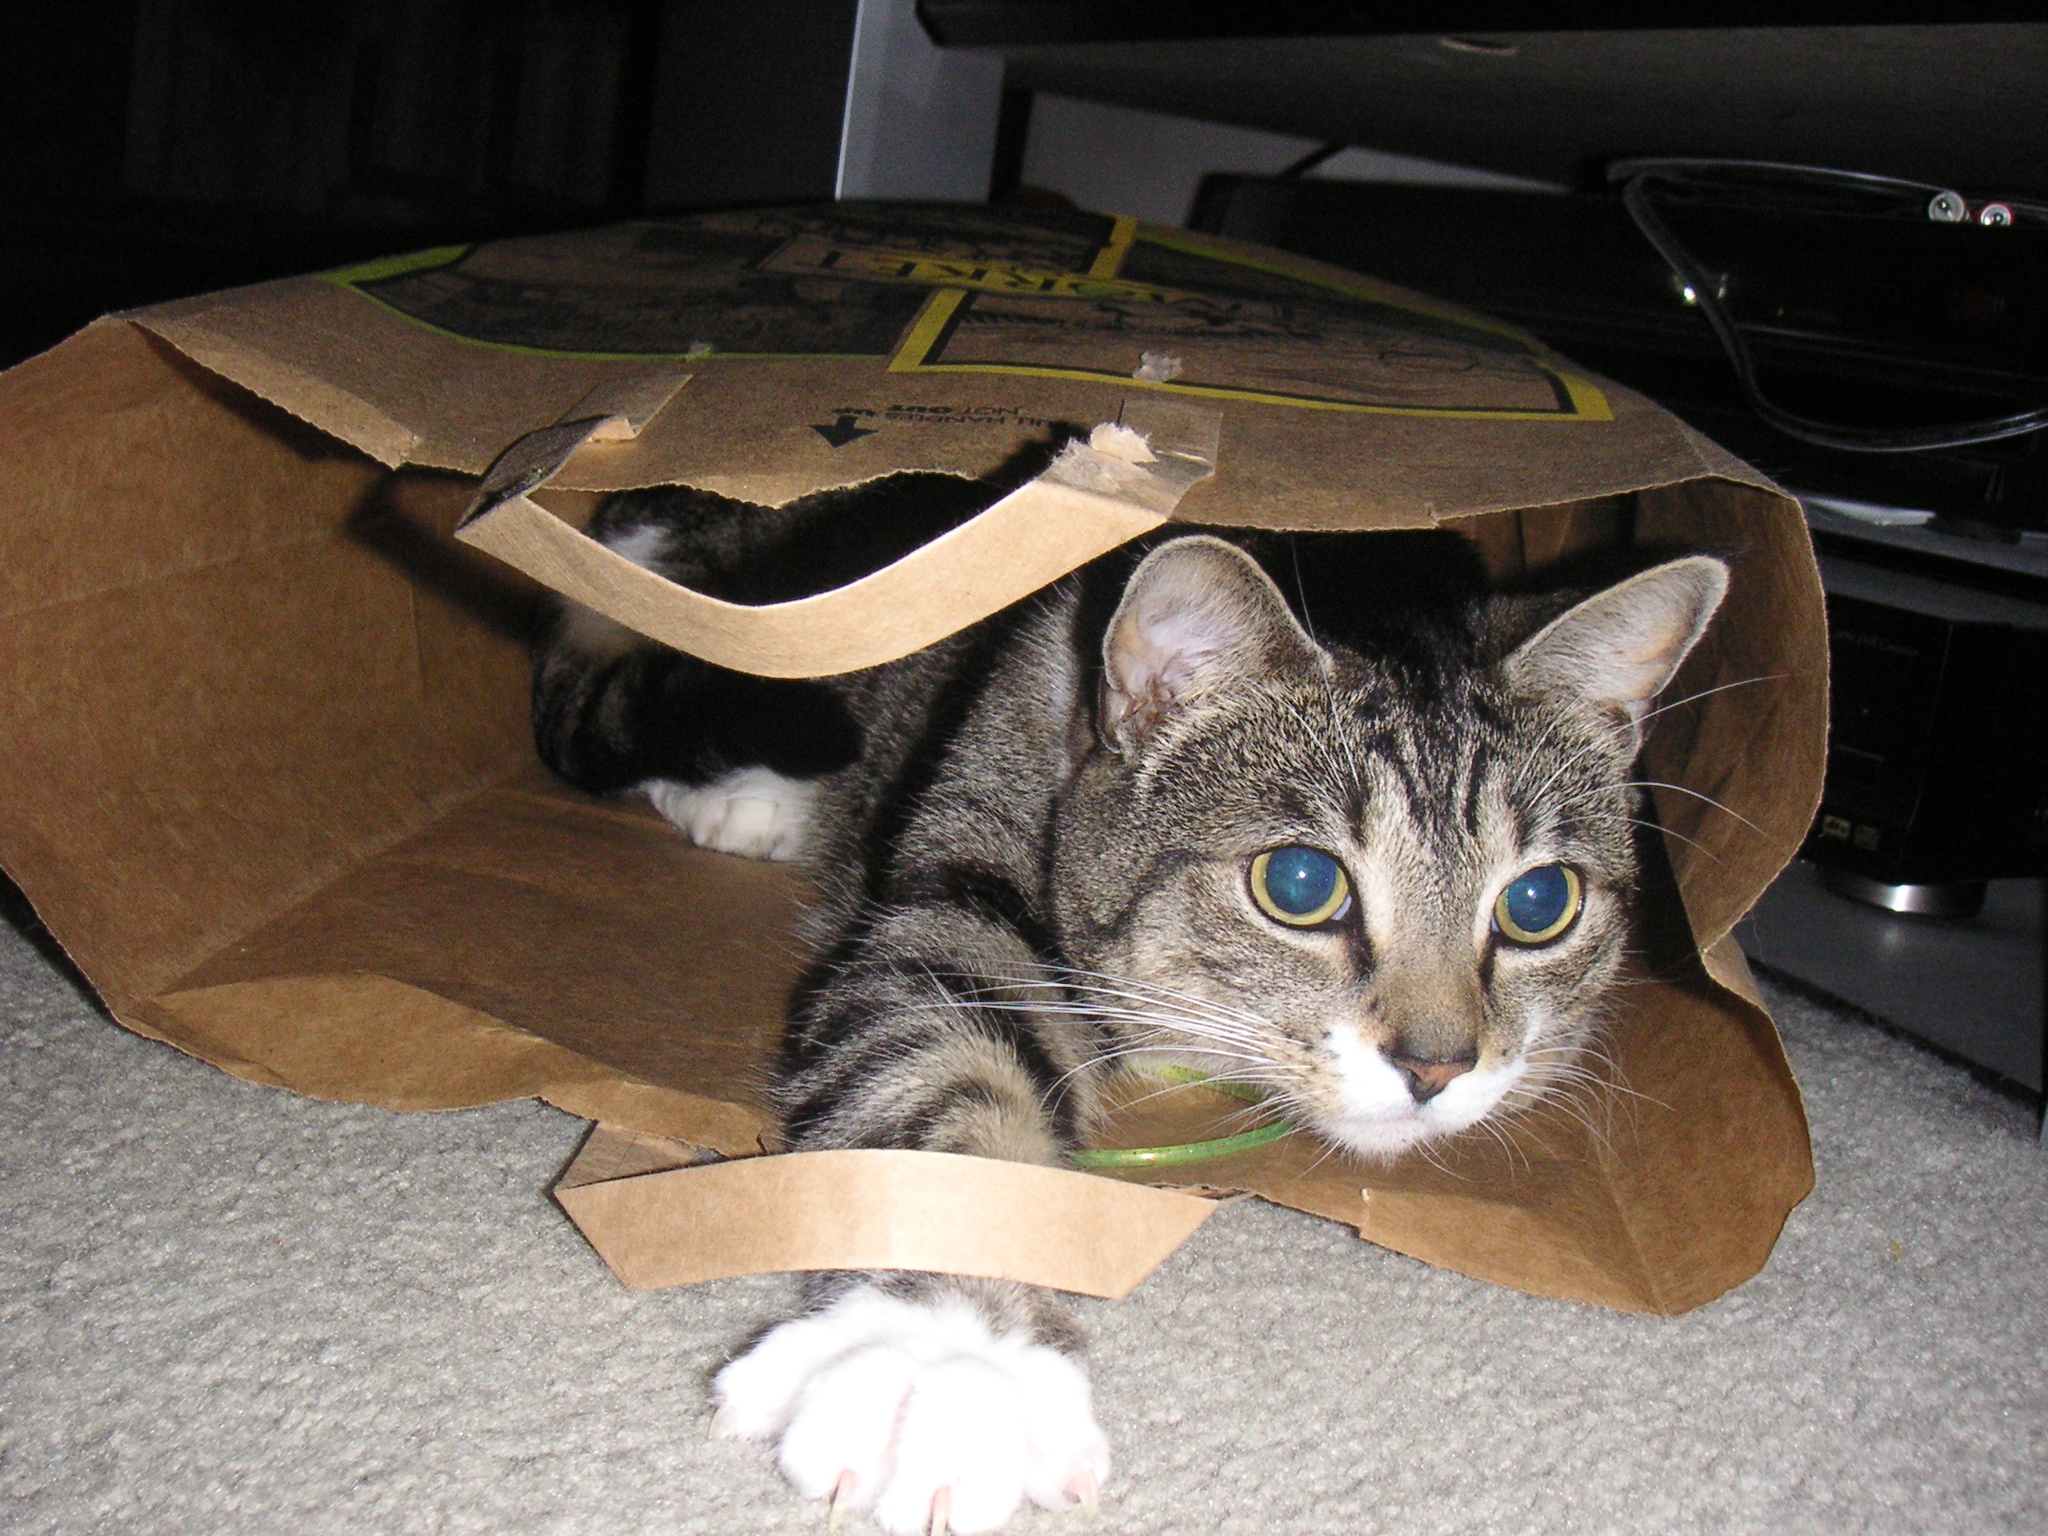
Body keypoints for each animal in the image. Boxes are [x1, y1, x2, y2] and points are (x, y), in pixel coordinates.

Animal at [528, 475, 1728, 1531]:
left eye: (1538, 903)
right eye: (1301, 884)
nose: (1437, 1066)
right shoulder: (974, 865)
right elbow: (939, 1047)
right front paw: (942, 1356)